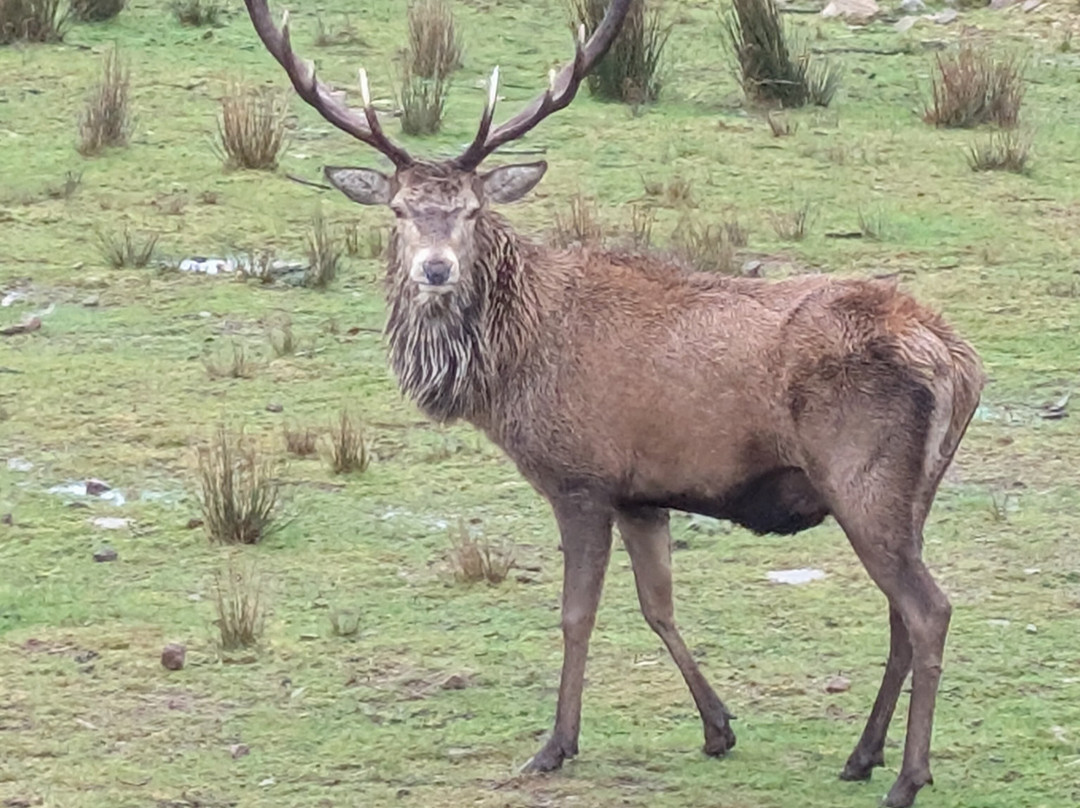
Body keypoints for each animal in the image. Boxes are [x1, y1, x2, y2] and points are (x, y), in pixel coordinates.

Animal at [242, 2, 984, 805]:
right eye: (402, 211)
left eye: (471, 211)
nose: (435, 271)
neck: (509, 368)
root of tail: (955, 359)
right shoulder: (642, 494)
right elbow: (658, 606)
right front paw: (717, 728)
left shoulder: (581, 478)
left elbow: (577, 614)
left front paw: (554, 745)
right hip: (913, 492)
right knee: (900, 614)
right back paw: (861, 754)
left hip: (863, 479)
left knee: (930, 609)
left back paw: (906, 776)